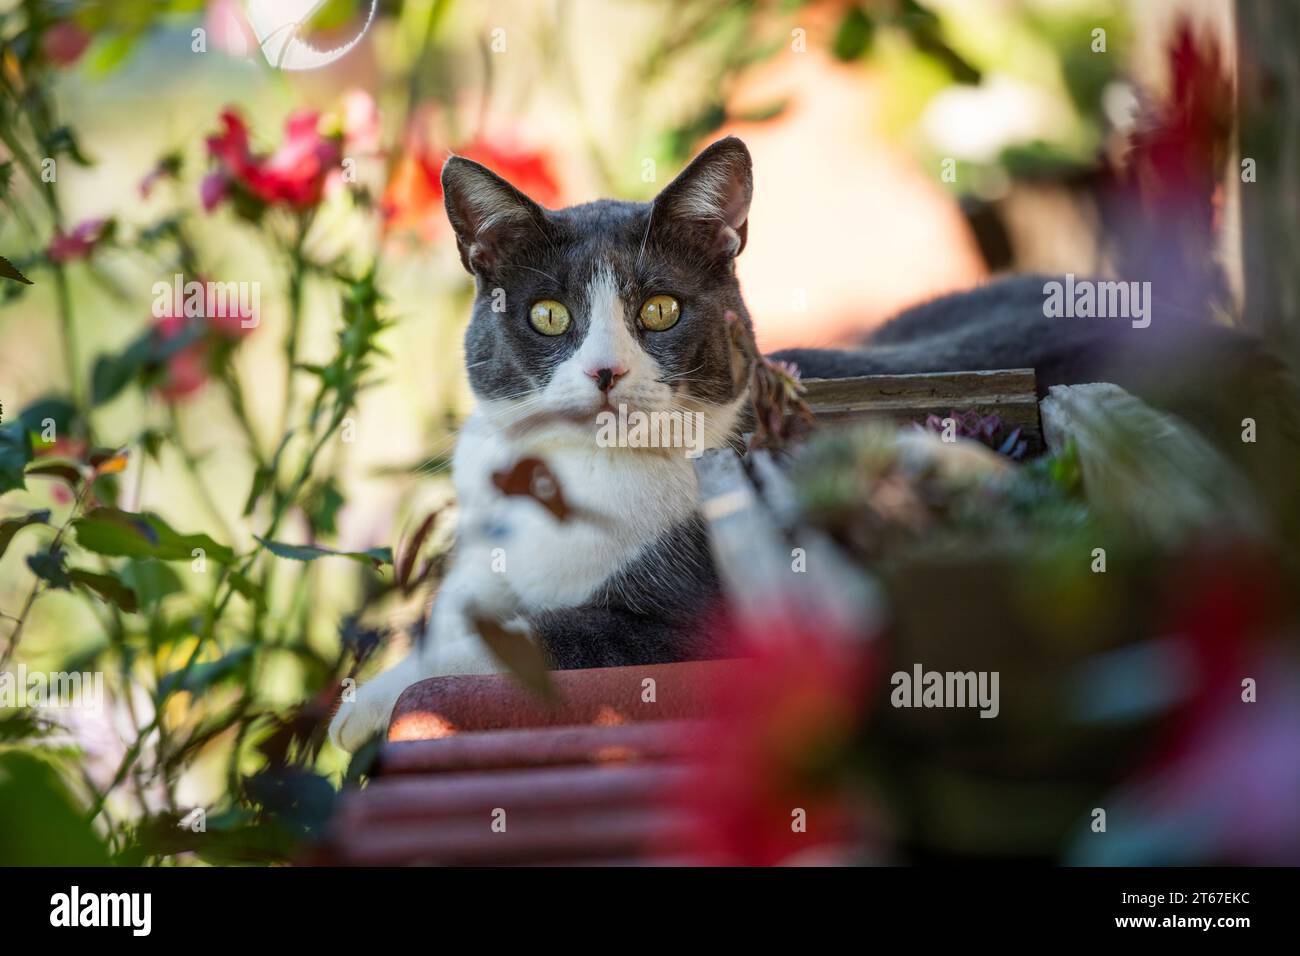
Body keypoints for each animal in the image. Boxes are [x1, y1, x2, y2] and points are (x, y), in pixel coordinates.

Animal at [330, 134, 1263, 749]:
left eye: (660, 308)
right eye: (549, 315)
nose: (604, 372)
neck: (570, 481)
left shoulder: (682, 625)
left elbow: (518, 638)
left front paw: (364, 708)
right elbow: (450, 618)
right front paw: (375, 687)